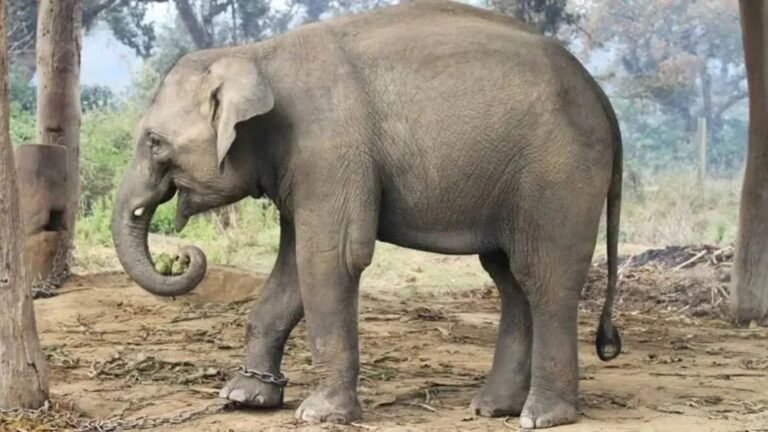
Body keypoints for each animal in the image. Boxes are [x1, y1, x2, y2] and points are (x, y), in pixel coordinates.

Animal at [110, 0, 623, 429]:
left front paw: (319, 414)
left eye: (154, 143)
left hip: (558, 173)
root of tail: (598, 92)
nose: (183, 256)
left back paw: (542, 416)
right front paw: (245, 397)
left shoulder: (330, 149)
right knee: (509, 277)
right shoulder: (305, 166)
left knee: (543, 275)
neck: (256, 54)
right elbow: (293, 268)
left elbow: (329, 259)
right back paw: (492, 408)